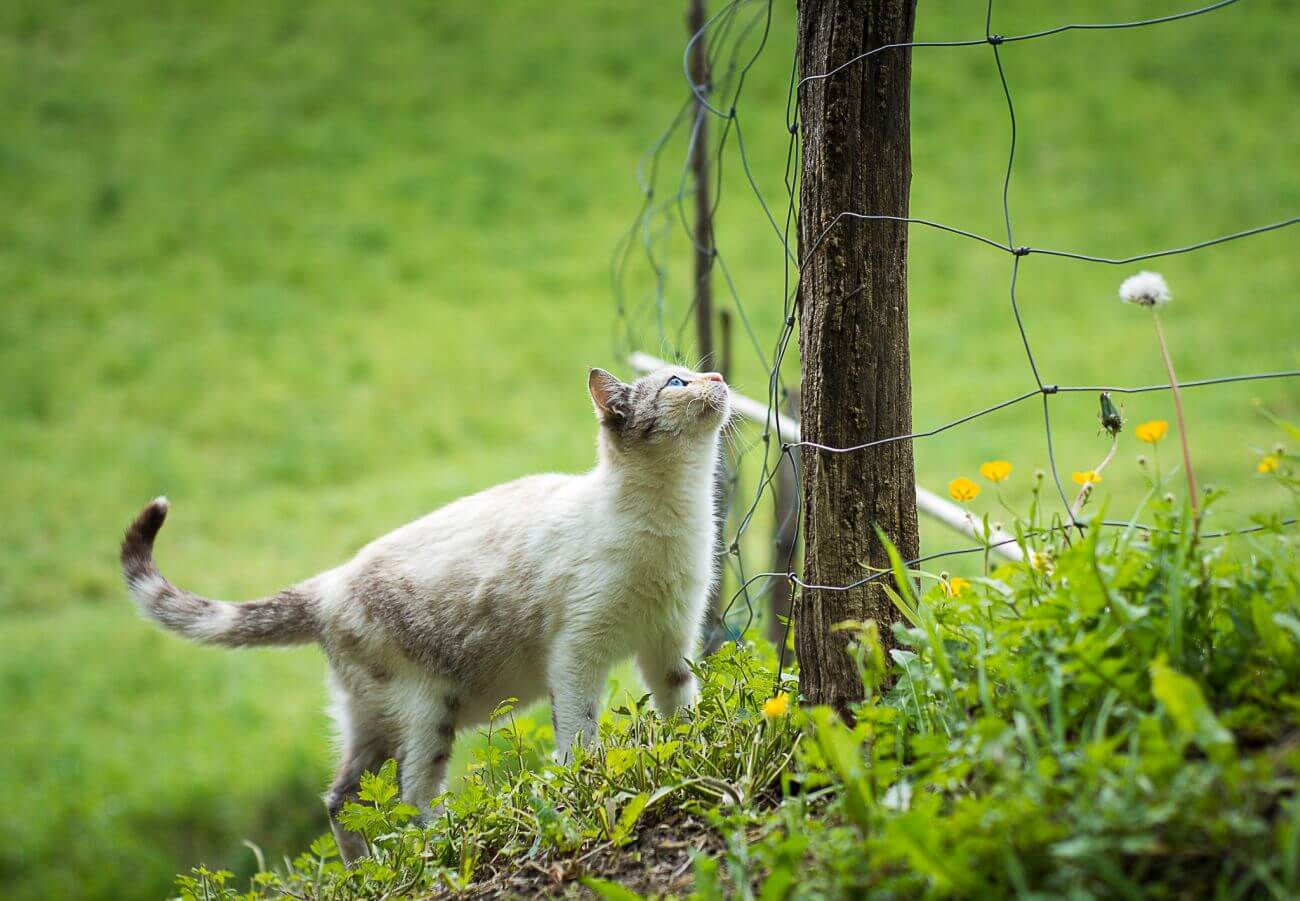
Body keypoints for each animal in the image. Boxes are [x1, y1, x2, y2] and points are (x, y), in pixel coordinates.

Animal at [118, 361, 733, 863]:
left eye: (694, 371)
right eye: (675, 383)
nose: (719, 377)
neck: (671, 521)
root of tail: (327, 585)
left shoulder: (669, 643)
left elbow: (680, 706)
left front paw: (692, 750)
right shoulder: (577, 653)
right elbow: (579, 737)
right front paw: (586, 783)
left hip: (371, 718)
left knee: (342, 799)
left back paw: (365, 869)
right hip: (426, 708)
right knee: (411, 794)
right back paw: (444, 840)